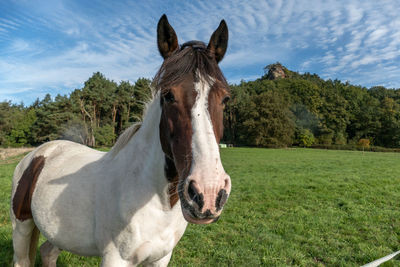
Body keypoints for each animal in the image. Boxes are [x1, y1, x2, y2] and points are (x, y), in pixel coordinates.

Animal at [10, 14, 231, 267]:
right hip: (21, 226)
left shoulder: (161, 258)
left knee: (47, 252)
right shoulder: (115, 259)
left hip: (59, 234)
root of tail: (36, 155)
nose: (209, 192)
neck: (157, 203)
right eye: (168, 95)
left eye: (225, 98)